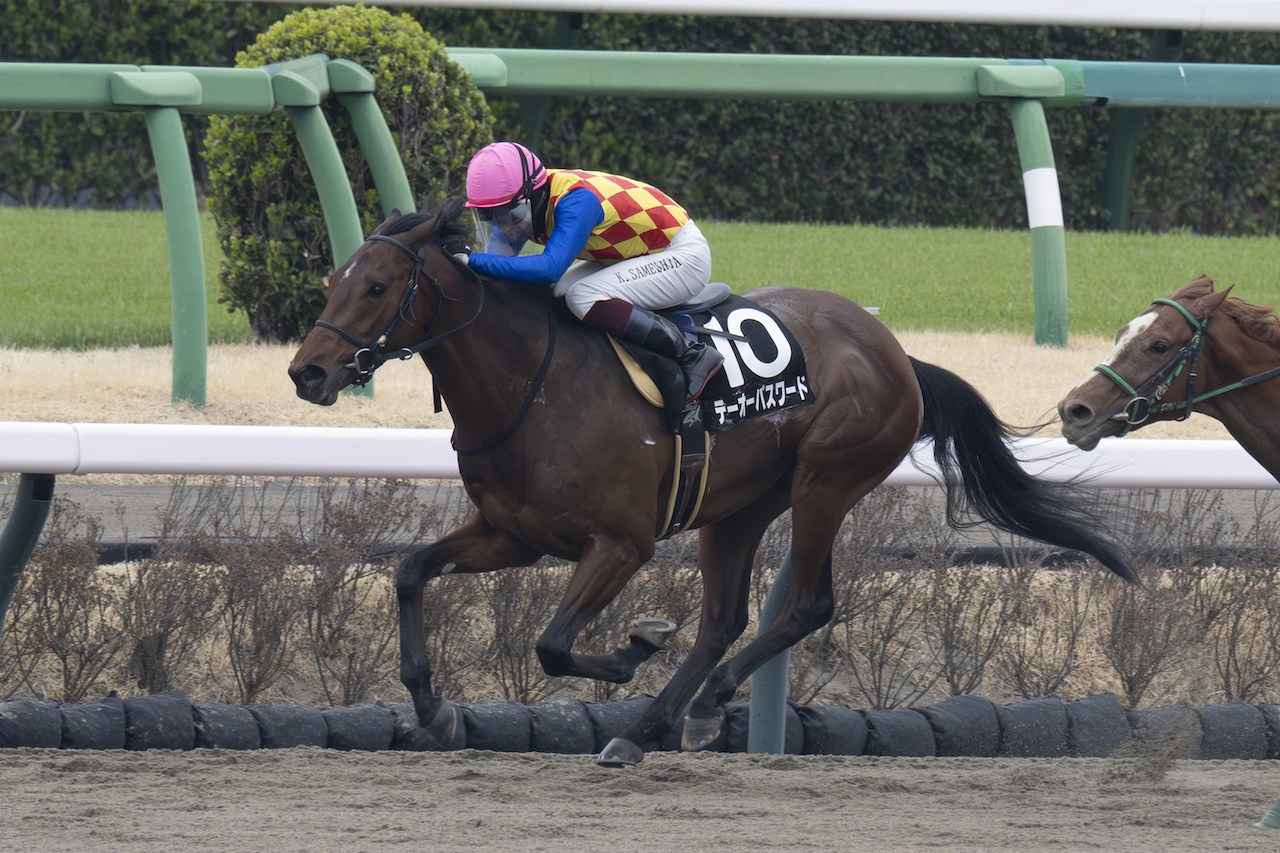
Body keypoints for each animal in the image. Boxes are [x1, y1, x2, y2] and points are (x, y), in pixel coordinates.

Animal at [293, 201, 1141, 763]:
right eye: (333, 279)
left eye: (376, 288)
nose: (308, 371)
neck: (532, 385)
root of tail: (896, 351)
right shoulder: (513, 534)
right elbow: (410, 571)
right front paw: (435, 711)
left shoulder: (621, 543)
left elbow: (554, 645)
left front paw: (633, 646)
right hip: (736, 508)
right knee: (725, 617)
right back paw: (652, 728)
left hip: (828, 479)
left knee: (806, 605)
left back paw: (694, 708)